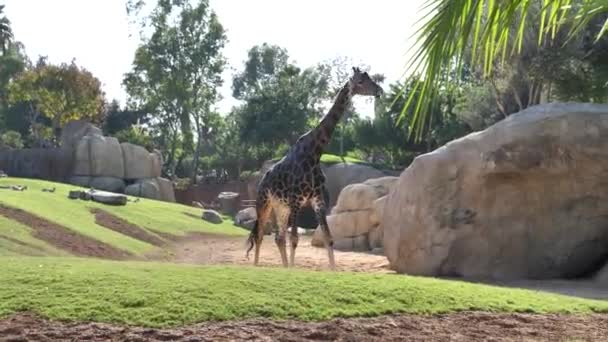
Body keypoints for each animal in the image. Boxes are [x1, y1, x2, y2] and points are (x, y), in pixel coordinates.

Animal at [245, 67, 382, 270]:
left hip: (281, 207)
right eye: (360, 81)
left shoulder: (318, 201)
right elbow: (294, 239)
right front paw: (293, 270)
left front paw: (332, 270)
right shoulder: (296, 200)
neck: (315, 152)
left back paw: (283, 267)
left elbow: (328, 238)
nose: (379, 90)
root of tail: (262, 179)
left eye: (370, 78)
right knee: (260, 234)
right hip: (264, 203)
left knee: (278, 237)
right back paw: (256, 266)